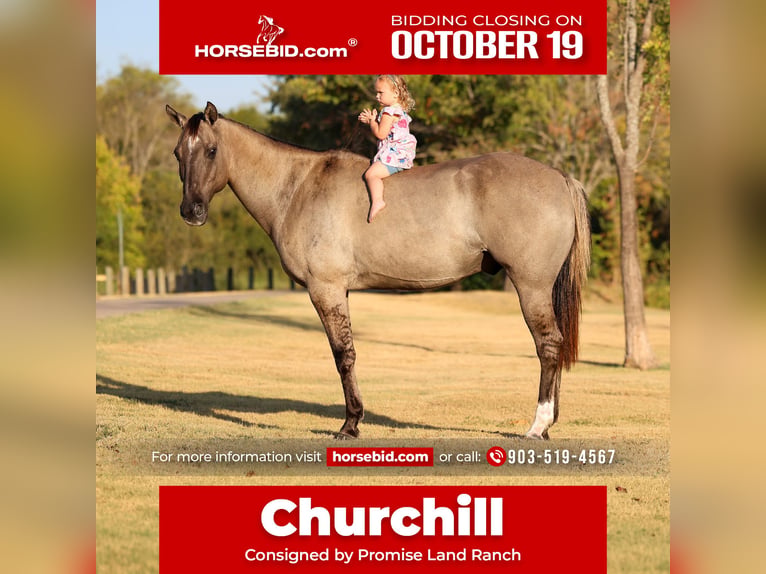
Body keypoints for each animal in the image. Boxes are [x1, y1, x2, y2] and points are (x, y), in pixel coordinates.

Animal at [165, 101, 591, 440]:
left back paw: (538, 425)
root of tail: (559, 177)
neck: (298, 187)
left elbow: (344, 355)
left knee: (548, 345)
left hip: (531, 285)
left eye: (212, 150)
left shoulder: (326, 289)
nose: (191, 212)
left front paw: (350, 424)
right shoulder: (340, 291)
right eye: (177, 153)